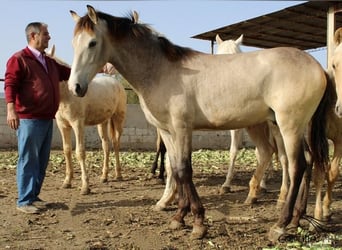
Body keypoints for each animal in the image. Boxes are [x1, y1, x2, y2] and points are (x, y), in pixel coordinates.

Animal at [47, 46, 125, 194]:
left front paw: (85, 186)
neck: (67, 94)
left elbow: (80, 152)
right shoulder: (63, 126)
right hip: (103, 122)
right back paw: (104, 176)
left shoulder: (78, 124)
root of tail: (115, 82)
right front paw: (67, 182)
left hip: (118, 118)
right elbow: (67, 150)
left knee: (116, 143)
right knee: (106, 146)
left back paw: (118, 175)